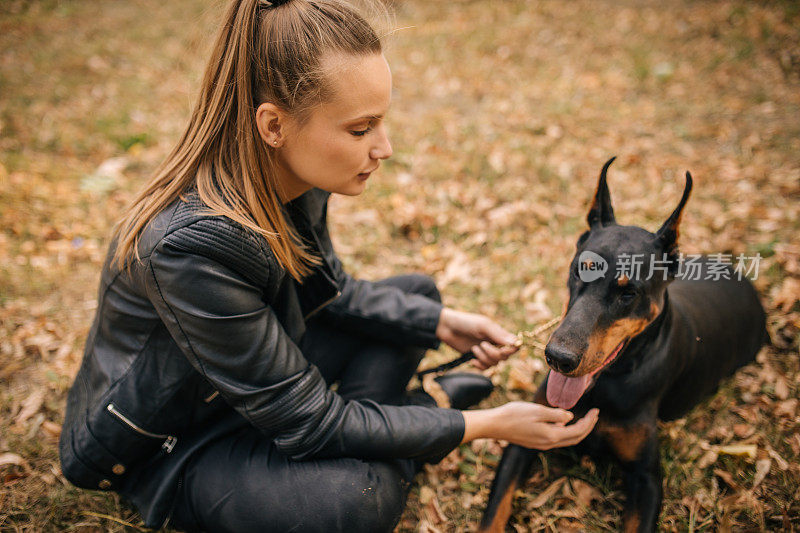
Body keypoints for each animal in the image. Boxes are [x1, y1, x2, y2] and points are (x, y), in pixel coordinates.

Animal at [478, 158, 764, 532]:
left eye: (628, 293)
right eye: (579, 270)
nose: (558, 358)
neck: (608, 382)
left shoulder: (647, 479)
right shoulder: (524, 435)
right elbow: (494, 511)